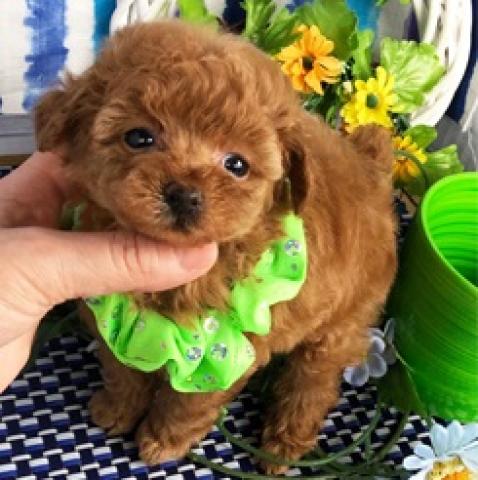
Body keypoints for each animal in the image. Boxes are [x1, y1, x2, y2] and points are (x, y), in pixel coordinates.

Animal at [35, 20, 397, 474]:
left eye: (236, 164)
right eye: (138, 137)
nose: (184, 194)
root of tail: (374, 169)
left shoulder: (223, 351)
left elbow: (187, 404)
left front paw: (163, 441)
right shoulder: (118, 319)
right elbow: (124, 372)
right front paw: (116, 410)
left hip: (342, 322)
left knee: (312, 383)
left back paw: (283, 444)